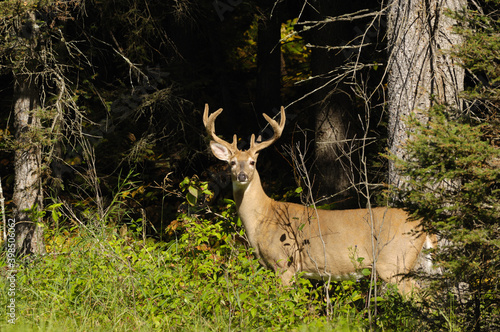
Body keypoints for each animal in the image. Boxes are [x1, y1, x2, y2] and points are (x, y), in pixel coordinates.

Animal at [202, 103, 434, 294]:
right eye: (232, 163)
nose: (242, 176)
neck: (263, 218)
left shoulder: (284, 263)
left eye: (252, 162)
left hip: (394, 262)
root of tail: (425, 225)